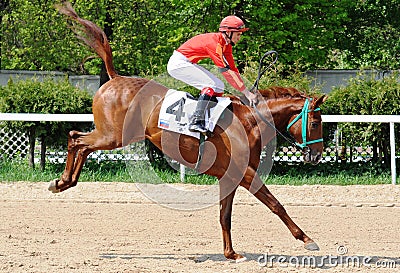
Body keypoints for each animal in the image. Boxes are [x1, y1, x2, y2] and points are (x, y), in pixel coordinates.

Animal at [50, 2, 324, 262]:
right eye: (315, 123)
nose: (317, 155)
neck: (249, 120)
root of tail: (115, 78)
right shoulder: (245, 172)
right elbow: (276, 205)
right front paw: (308, 239)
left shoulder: (230, 176)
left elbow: (225, 215)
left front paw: (231, 253)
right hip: (112, 136)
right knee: (77, 140)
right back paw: (63, 181)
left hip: (113, 136)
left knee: (78, 141)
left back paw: (63, 182)